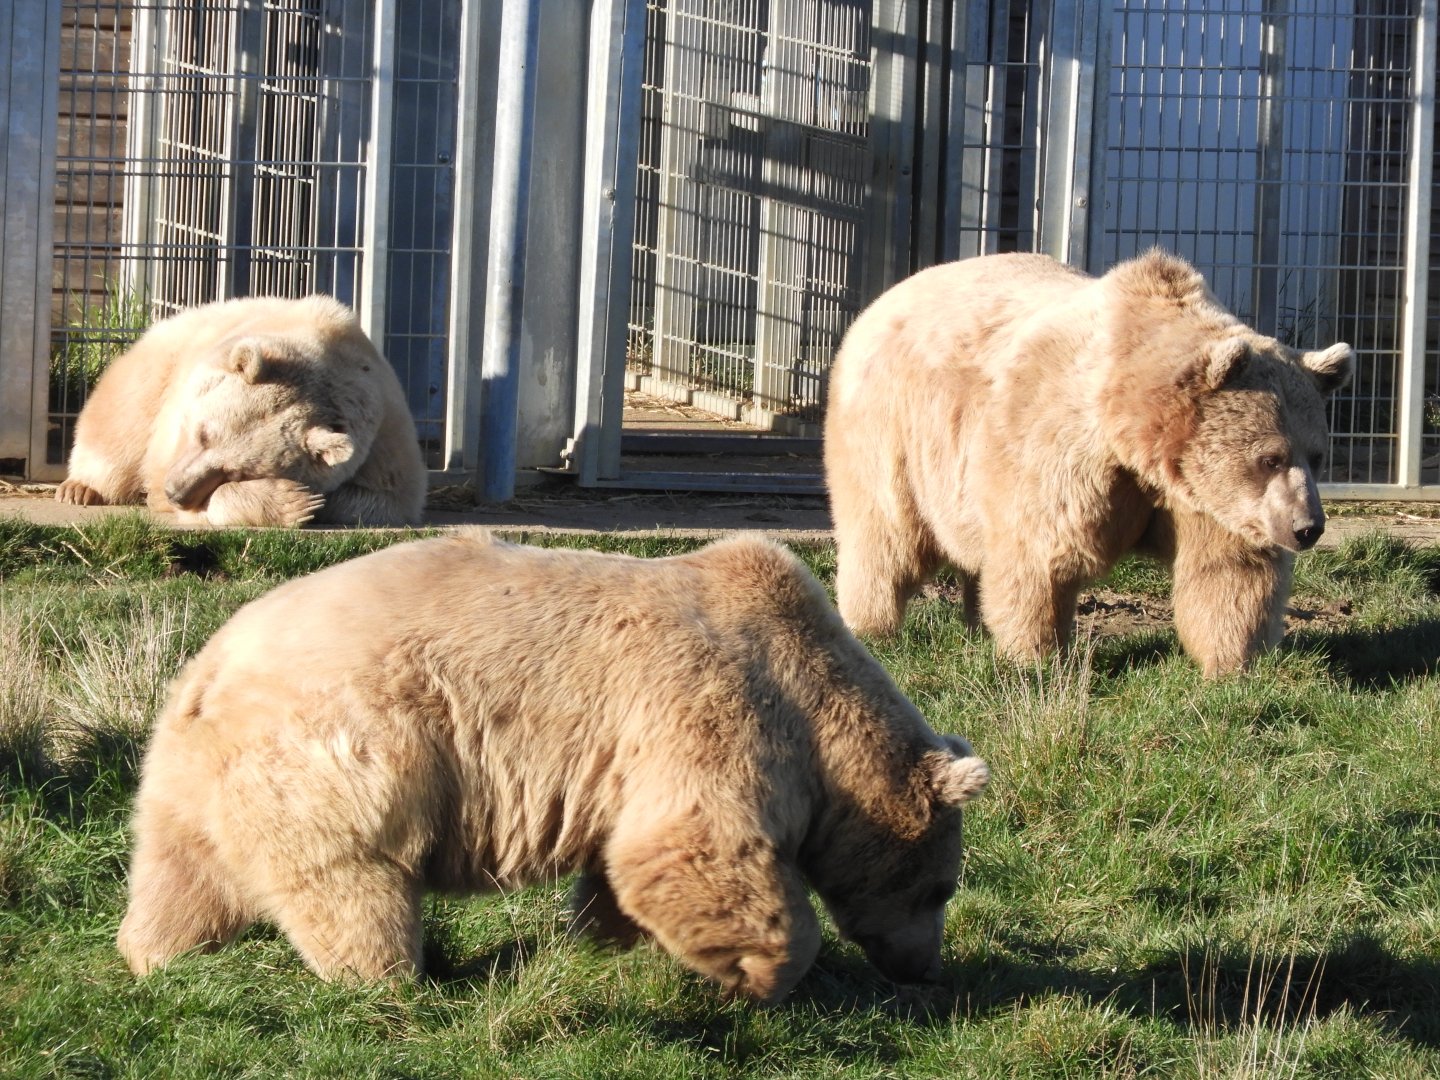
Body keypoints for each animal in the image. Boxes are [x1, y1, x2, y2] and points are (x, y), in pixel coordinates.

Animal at [55, 295, 427, 527]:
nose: (175, 493)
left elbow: (384, 501)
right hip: (160, 367)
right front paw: (292, 502)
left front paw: (313, 500)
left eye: (236, 471)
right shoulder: (174, 436)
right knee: (121, 424)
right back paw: (81, 489)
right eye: (203, 434)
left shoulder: (385, 443)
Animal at [116, 530, 989, 1003]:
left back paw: (159, 955)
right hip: (344, 744)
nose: (924, 970)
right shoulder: (719, 700)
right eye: (941, 886)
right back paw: (393, 977)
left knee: (180, 872)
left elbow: (628, 863)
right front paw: (766, 971)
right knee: (351, 876)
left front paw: (605, 941)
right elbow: (695, 842)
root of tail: (212, 668)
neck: (818, 695)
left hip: (191, 772)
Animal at [824, 249, 1354, 677]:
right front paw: (1037, 656)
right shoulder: (1062, 451)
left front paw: (1233, 665)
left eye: (1317, 455)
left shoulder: (1203, 497)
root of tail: (881, 300)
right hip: (893, 434)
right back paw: (871, 627)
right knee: (885, 536)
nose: (1308, 527)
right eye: (1270, 457)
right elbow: (1041, 556)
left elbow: (1228, 572)